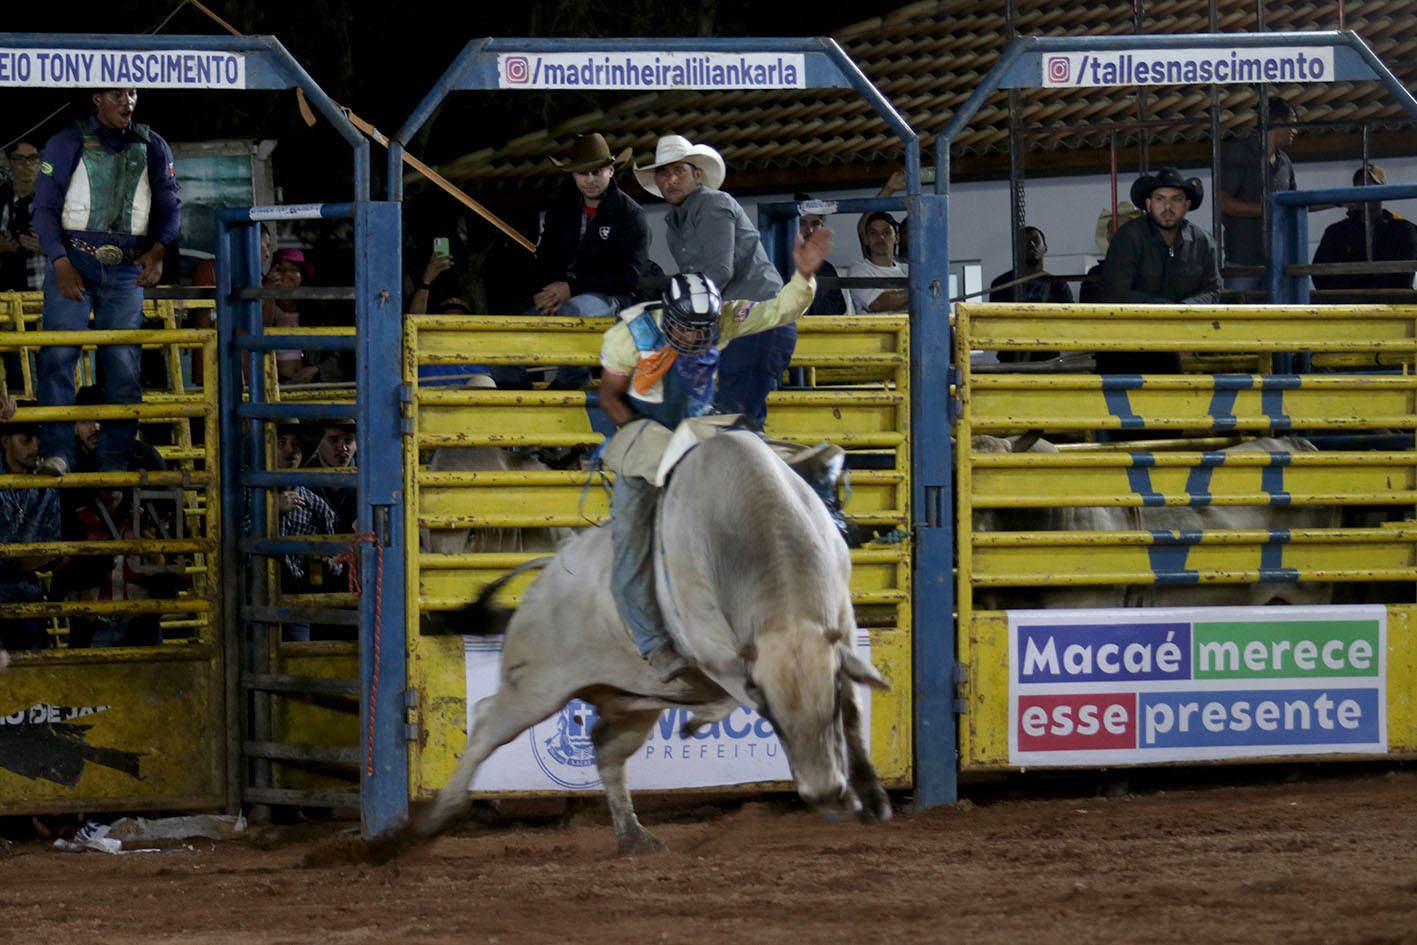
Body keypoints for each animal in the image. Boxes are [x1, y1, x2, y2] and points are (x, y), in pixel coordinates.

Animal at [413, 433, 889, 855]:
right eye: (773, 715)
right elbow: (736, 686)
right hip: (534, 686)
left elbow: (853, 705)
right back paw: (434, 818)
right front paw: (704, 718)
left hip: (619, 697)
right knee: (486, 721)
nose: (825, 793)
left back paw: (634, 837)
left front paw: (871, 794)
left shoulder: (839, 624)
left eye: (828, 700)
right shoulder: (705, 637)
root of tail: (545, 576)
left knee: (606, 747)